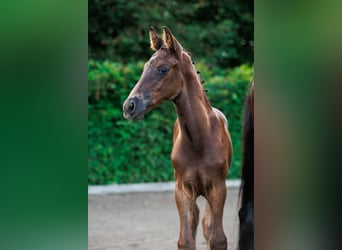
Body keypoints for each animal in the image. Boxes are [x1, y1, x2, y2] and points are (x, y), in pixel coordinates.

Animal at [123, 26, 232, 249]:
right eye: (145, 66)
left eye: (163, 69)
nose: (129, 106)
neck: (199, 140)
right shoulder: (182, 190)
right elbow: (185, 240)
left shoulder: (218, 188)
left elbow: (217, 238)